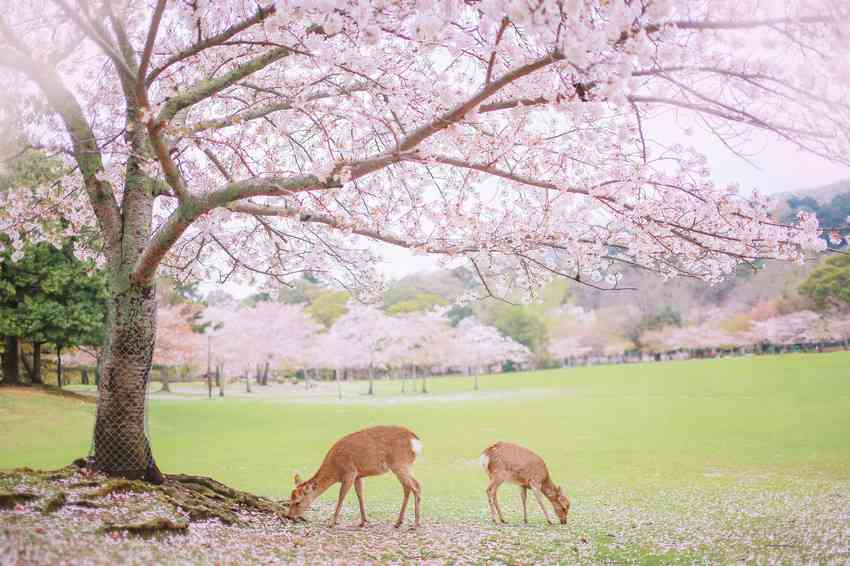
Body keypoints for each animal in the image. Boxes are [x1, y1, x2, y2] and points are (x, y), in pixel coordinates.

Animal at [284, 428, 420, 532]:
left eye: (298, 502)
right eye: (290, 499)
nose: (289, 516)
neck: (336, 471)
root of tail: (416, 441)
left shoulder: (349, 473)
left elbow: (341, 496)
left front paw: (332, 523)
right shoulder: (358, 475)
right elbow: (360, 495)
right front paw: (363, 521)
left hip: (400, 464)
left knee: (416, 486)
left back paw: (416, 524)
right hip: (405, 466)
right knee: (408, 487)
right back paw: (398, 522)